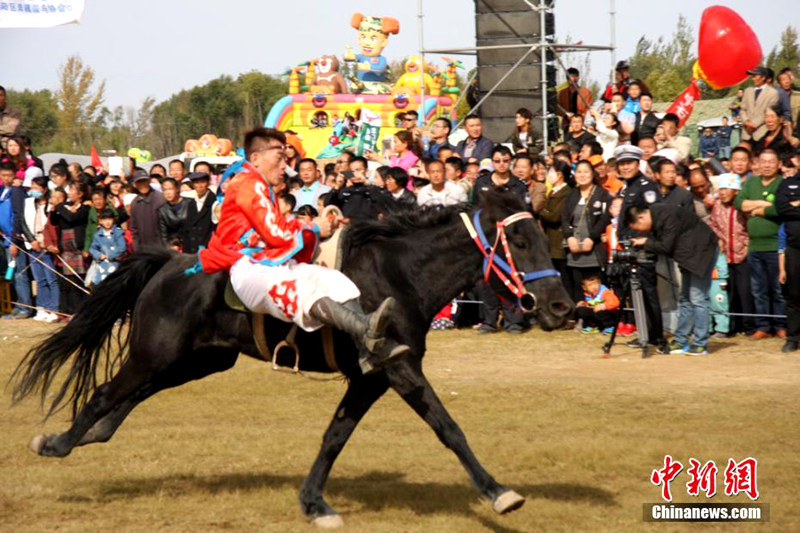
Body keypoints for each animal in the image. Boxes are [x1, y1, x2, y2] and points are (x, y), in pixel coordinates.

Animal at [9, 190, 572, 524]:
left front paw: (314, 501)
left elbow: (335, 437)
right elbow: (448, 427)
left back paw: (88, 435)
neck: (398, 276)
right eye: (519, 239)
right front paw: (498, 491)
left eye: (544, 235)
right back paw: (58, 442)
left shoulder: (371, 378)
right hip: (157, 353)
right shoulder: (398, 368)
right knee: (107, 391)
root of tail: (169, 261)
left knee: (126, 397)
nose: (562, 307)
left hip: (197, 361)